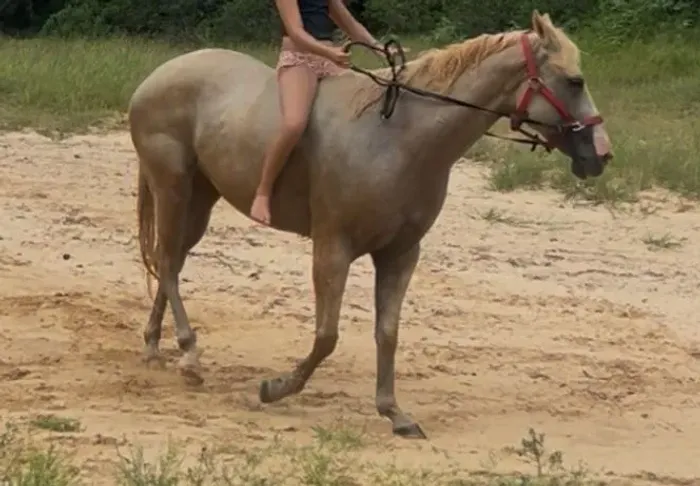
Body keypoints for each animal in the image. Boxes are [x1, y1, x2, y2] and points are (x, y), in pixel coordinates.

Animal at [129, 10, 613, 439]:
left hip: (200, 199)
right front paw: (276, 388)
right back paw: (189, 355)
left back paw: (155, 346)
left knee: (171, 261)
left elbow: (388, 333)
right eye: (575, 81)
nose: (602, 155)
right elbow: (327, 336)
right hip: (172, 188)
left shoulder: (400, 254)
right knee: (167, 263)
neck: (398, 137)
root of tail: (155, 78)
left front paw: (394, 413)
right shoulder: (333, 248)